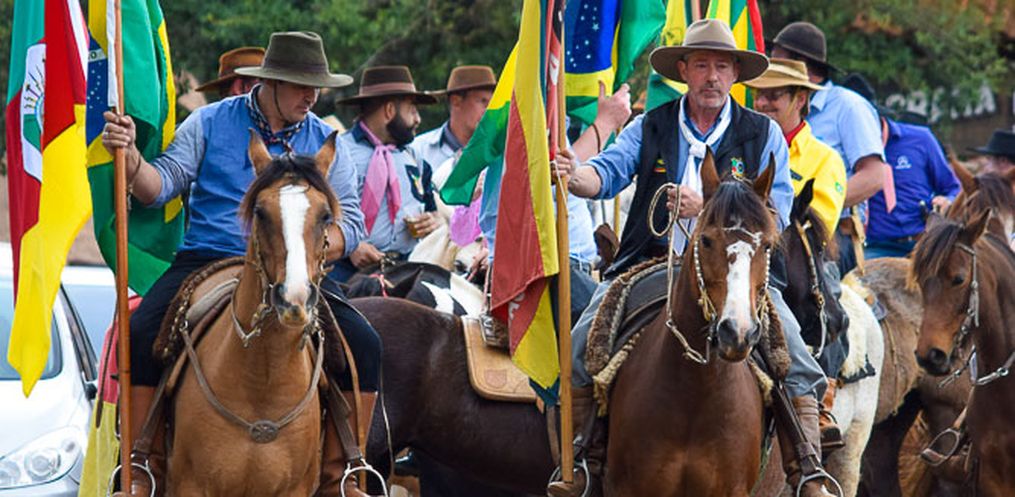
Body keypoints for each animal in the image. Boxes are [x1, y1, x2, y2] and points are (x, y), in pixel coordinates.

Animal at [165, 133, 340, 496]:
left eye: (326, 216)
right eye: (260, 212)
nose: (294, 299)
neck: (263, 380)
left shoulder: (294, 489)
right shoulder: (191, 485)